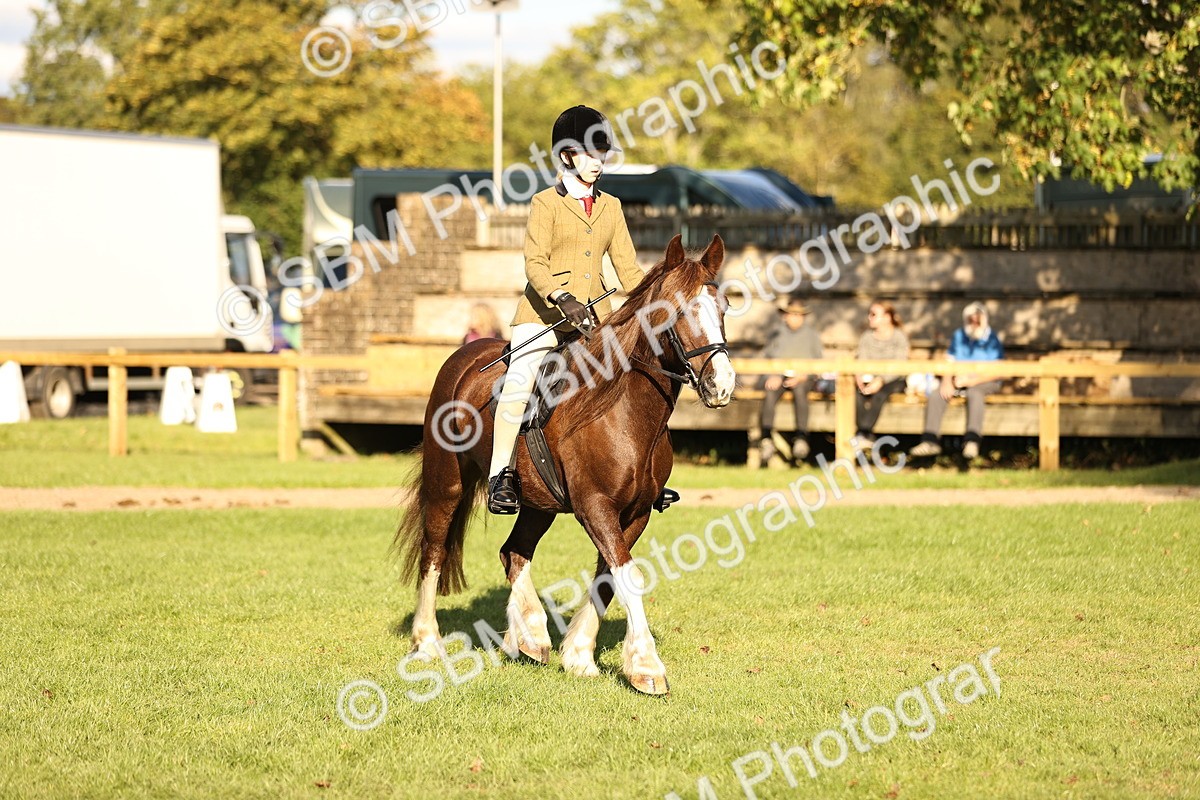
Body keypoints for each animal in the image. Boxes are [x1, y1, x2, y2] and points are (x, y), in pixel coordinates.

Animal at [395, 233, 736, 695]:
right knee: (434, 551)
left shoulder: (636, 511)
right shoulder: (596, 506)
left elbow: (610, 577)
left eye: (723, 307)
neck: (622, 407)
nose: (722, 384)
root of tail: (463, 357)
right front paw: (647, 667)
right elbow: (628, 575)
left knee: (513, 552)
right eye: (673, 310)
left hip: (538, 504)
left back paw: (528, 635)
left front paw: (578, 654)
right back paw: (431, 641)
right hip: (446, 484)